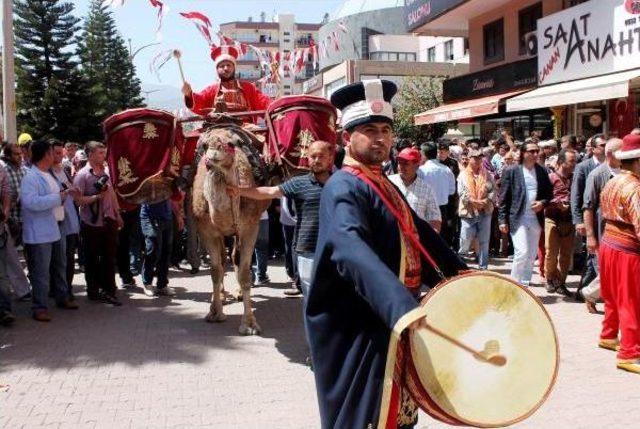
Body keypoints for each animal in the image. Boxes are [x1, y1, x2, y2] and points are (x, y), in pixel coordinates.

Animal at [190, 123, 270, 334]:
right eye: (205, 145)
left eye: (232, 143)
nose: (213, 155)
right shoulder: (206, 230)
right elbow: (215, 271)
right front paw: (215, 313)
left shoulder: (250, 227)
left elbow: (245, 272)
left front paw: (249, 324)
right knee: (224, 258)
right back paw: (220, 296)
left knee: (235, 257)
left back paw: (238, 293)